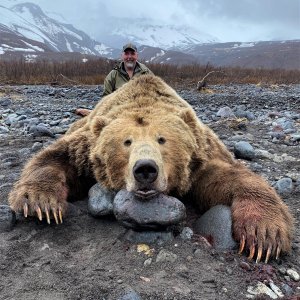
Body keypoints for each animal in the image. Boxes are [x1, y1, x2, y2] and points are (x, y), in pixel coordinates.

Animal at [8, 74, 292, 262]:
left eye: (162, 139)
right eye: (127, 142)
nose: (145, 169)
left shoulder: (200, 159)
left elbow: (229, 178)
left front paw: (264, 235)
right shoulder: (86, 149)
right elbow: (55, 158)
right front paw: (41, 202)